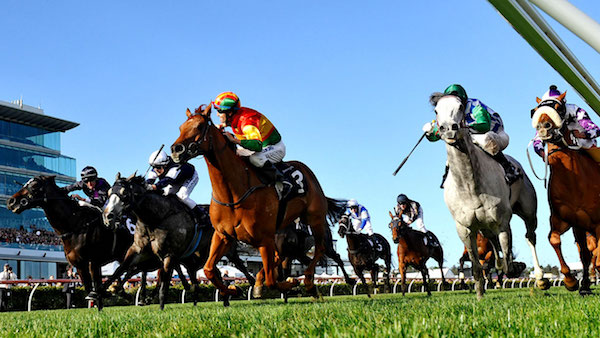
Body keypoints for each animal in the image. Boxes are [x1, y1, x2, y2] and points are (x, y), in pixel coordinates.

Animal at [5, 176, 137, 310]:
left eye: (35, 185)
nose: (11, 201)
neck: (76, 225)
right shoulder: (80, 265)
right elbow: (90, 288)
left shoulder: (93, 262)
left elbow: (96, 289)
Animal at [103, 174, 253, 308]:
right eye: (109, 193)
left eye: (124, 193)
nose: (108, 216)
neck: (156, 217)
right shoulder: (138, 250)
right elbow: (122, 269)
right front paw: (105, 290)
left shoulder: (169, 254)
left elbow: (163, 281)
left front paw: (160, 306)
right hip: (202, 256)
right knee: (215, 273)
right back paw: (223, 299)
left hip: (228, 251)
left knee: (242, 268)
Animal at [171, 105, 344, 298]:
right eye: (180, 128)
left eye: (200, 126)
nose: (176, 149)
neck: (233, 194)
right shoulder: (223, 235)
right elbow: (209, 270)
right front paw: (233, 289)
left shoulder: (264, 239)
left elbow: (272, 280)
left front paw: (290, 283)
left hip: (315, 219)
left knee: (320, 249)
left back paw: (309, 283)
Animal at [432, 92, 548, 298]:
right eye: (436, 110)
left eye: (460, 106)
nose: (448, 129)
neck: (469, 185)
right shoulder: (464, 229)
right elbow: (477, 266)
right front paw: (479, 294)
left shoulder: (502, 222)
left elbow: (508, 263)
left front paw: (516, 267)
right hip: (486, 227)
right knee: (494, 246)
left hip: (528, 211)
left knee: (530, 237)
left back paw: (540, 278)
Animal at [528, 93, 600, 294]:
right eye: (535, 111)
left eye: (558, 108)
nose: (543, 127)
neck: (573, 182)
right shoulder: (566, 220)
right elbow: (554, 240)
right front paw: (571, 281)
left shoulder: (597, 222)